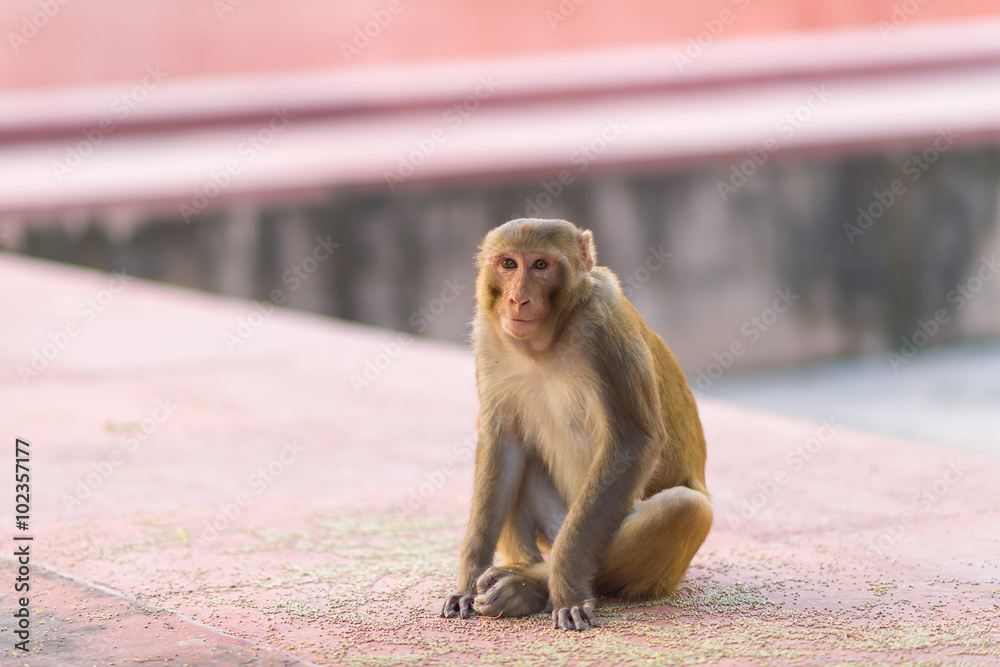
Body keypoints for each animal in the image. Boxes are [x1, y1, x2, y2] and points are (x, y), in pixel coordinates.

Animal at [439, 218, 713, 631]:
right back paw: (520, 574)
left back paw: (527, 584)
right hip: (552, 526)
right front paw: (468, 583)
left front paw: (565, 591)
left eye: (540, 265)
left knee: (685, 508)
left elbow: (632, 443)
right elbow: (502, 441)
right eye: (508, 264)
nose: (517, 299)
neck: (545, 344)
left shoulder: (604, 322)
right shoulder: (488, 334)